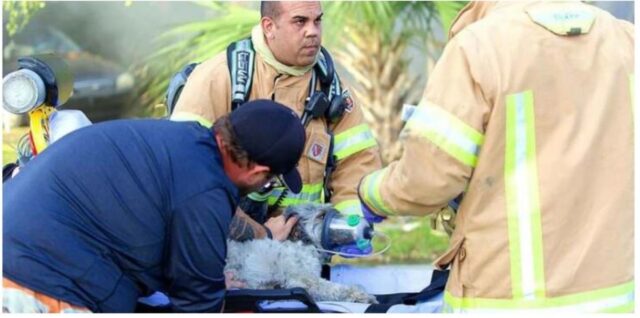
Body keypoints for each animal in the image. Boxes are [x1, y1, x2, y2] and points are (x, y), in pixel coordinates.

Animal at [225, 202, 378, 304]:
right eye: (321, 215)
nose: (370, 228)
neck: (305, 244)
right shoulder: (304, 280)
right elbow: (334, 289)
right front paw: (361, 295)